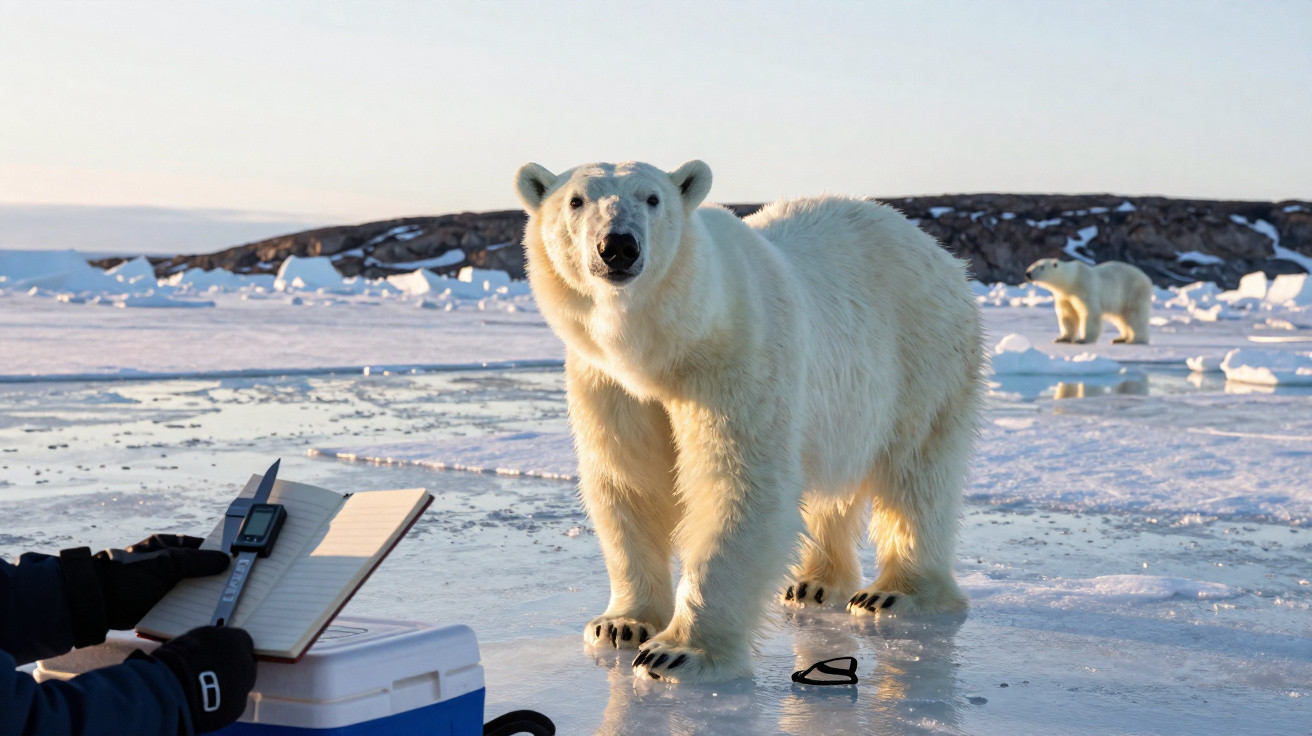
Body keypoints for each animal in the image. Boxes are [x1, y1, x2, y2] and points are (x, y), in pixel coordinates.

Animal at [514, 159, 985, 684]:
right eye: (576, 200)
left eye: (652, 198)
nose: (618, 245)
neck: (665, 346)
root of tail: (940, 253)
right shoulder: (609, 383)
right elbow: (631, 481)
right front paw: (622, 625)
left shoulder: (735, 358)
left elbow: (737, 483)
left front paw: (676, 653)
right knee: (830, 487)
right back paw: (814, 584)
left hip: (923, 353)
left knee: (916, 474)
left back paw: (895, 592)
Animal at [1025, 259, 1153, 345]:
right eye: (1032, 264)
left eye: (1041, 267)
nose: (1028, 273)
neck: (1071, 280)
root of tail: (1147, 278)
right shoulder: (1064, 296)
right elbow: (1068, 315)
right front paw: (1062, 338)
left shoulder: (1085, 288)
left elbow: (1090, 313)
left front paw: (1083, 339)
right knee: (1120, 318)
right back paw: (1120, 338)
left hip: (1133, 292)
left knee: (1134, 315)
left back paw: (1136, 339)